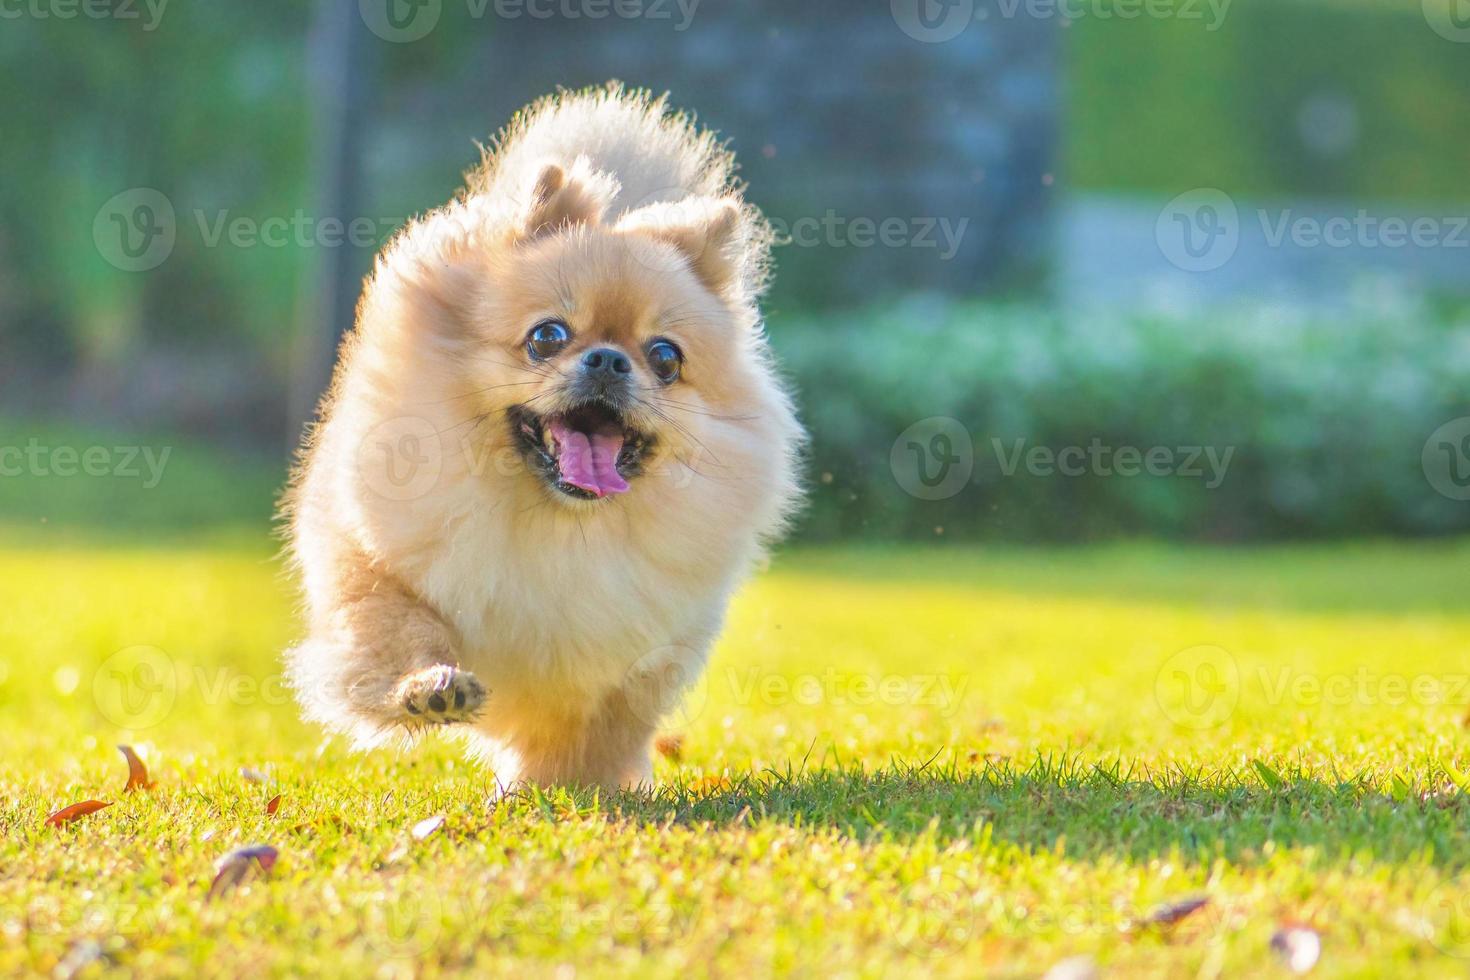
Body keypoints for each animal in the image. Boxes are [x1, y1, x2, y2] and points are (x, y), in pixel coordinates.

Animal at [283, 84, 805, 787]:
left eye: (665, 358)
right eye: (548, 337)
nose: (609, 360)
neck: (558, 528)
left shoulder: (644, 656)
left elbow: (594, 730)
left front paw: (567, 789)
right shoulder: (373, 569)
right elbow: (397, 633)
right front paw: (428, 685)